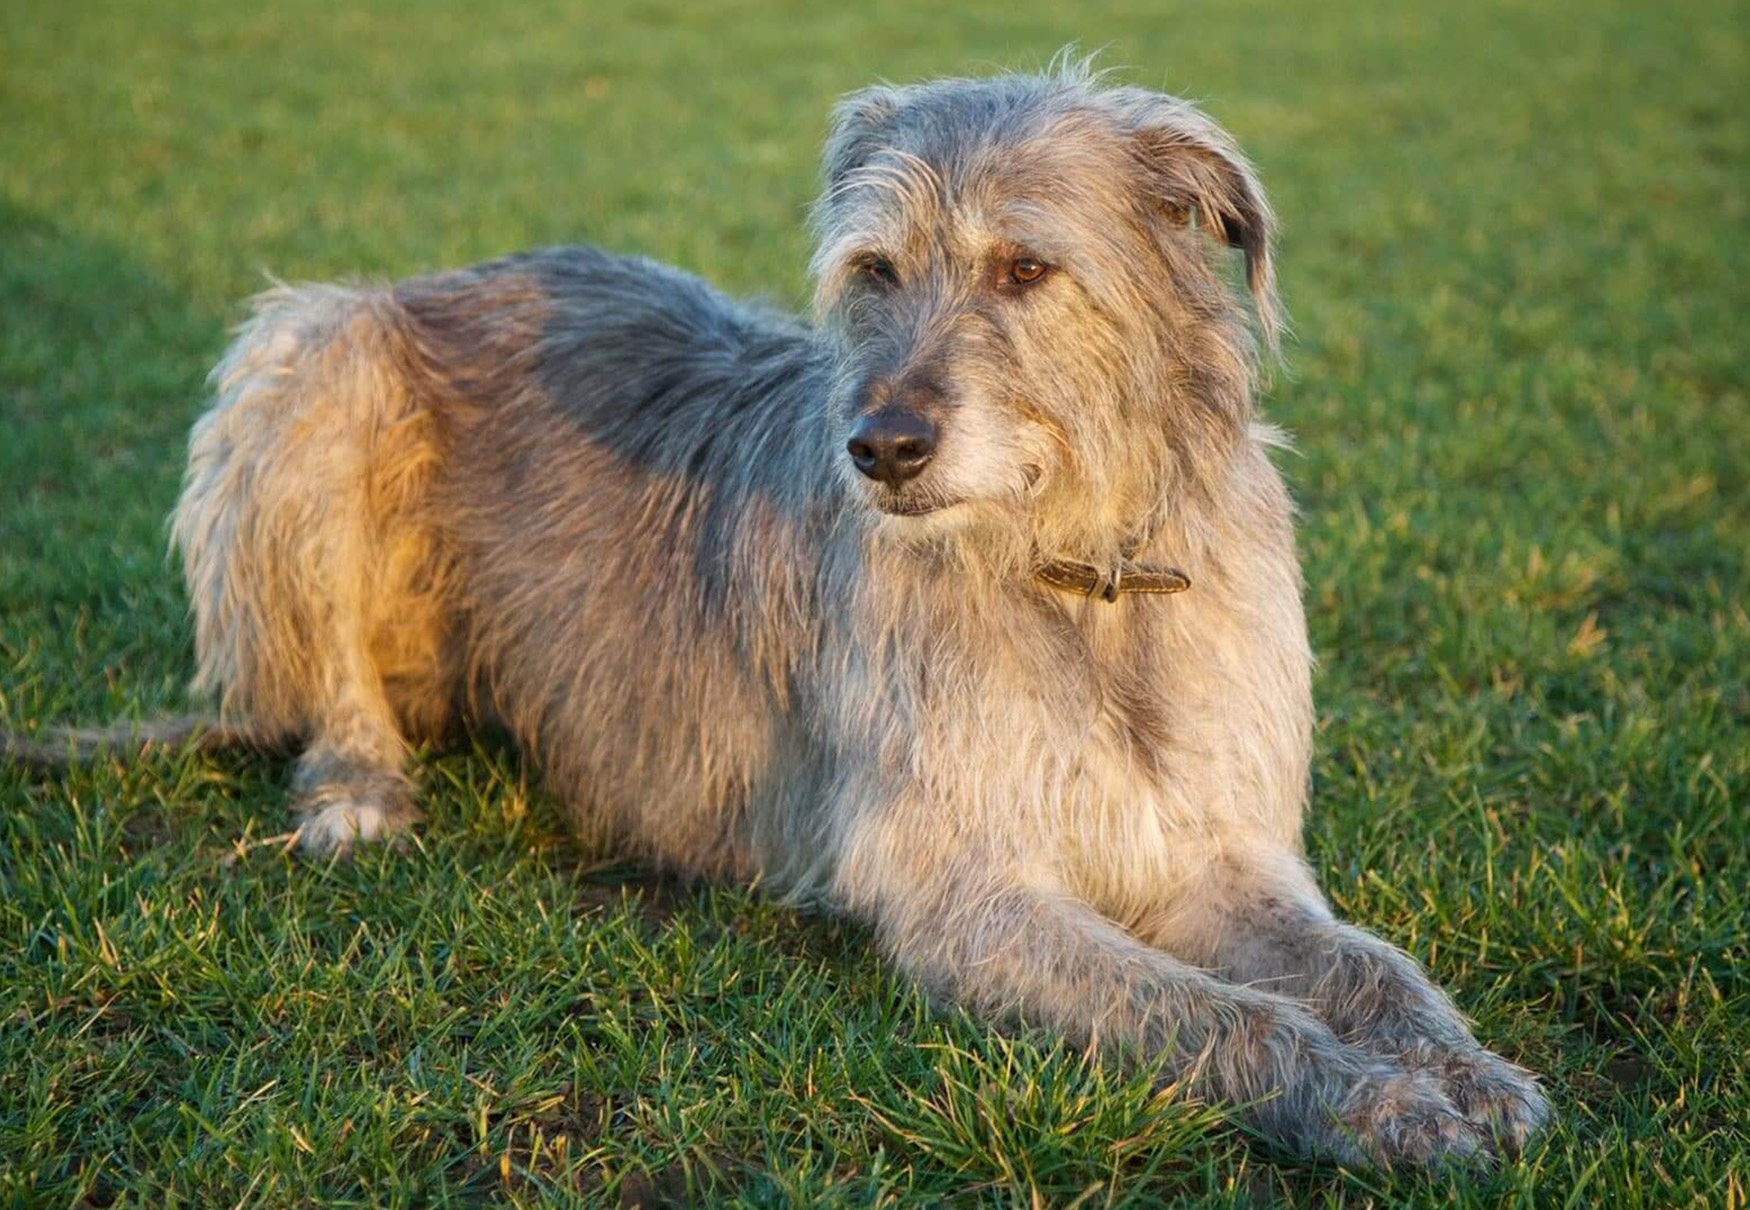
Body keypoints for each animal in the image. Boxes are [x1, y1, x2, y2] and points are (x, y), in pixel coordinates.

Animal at [10, 59, 1547, 1176]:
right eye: (875, 270)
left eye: (1023, 269)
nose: (882, 447)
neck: (1078, 578)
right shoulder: (961, 890)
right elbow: (1213, 1013)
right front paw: (1376, 1105)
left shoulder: (1212, 851)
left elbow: (1360, 964)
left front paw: (1459, 1070)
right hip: (314, 354)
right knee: (321, 669)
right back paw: (356, 788)